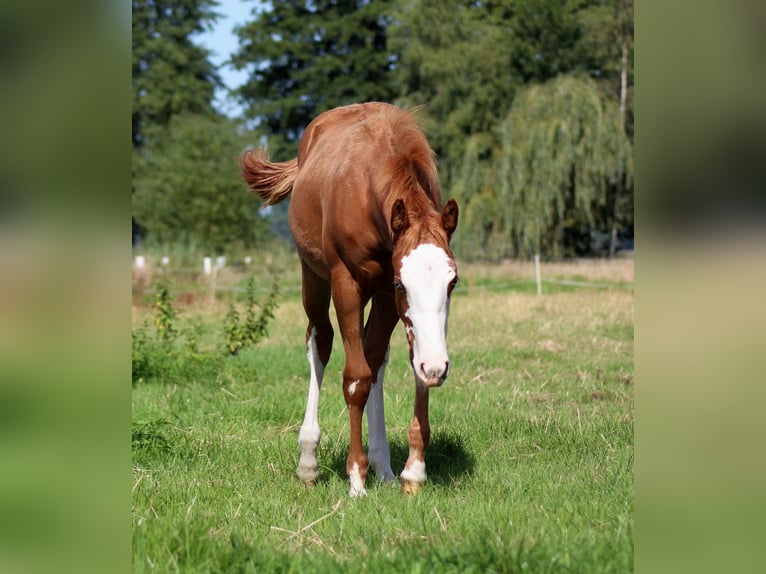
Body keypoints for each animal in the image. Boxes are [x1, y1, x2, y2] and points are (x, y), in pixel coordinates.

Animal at [240, 102, 459, 497]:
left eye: (452, 282)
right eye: (403, 284)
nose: (439, 367)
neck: (369, 191)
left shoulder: (387, 297)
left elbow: (406, 369)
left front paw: (413, 472)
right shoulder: (351, 283)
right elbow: (355, 378)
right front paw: (356, 478)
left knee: (375, 358)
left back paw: (383, 465)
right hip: (313, 277)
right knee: (321, 341)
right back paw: (309, 462)